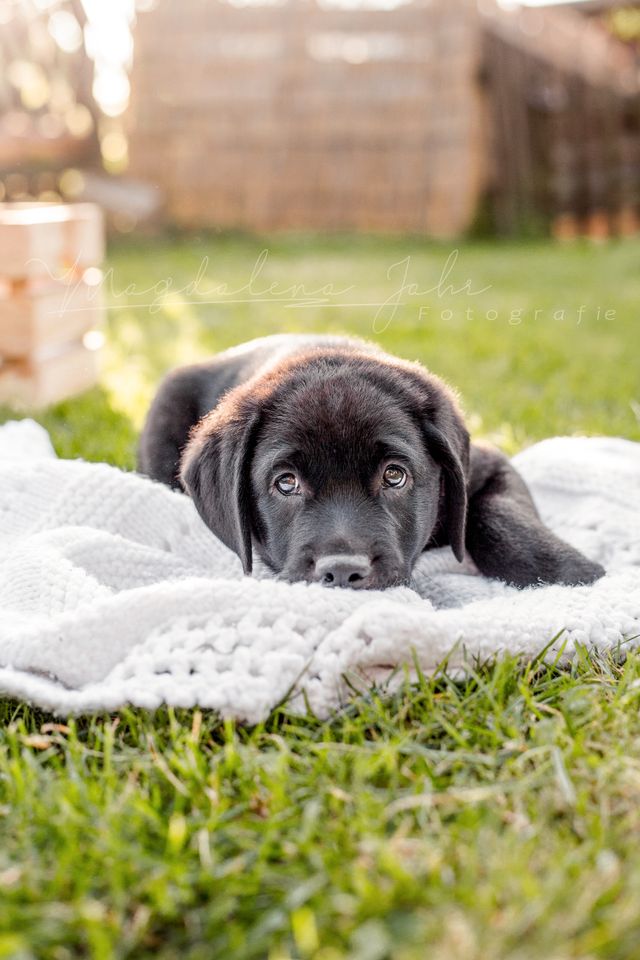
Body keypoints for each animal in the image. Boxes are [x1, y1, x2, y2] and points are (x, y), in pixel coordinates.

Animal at [140, 338, 604, 592]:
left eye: (394, 475)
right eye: (286, 483)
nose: (344, 571)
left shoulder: (489, 466)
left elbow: (499, 517)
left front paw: (569, 577)